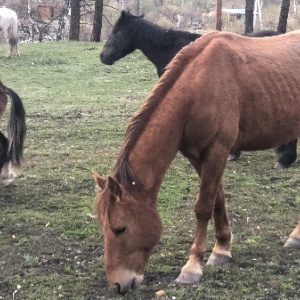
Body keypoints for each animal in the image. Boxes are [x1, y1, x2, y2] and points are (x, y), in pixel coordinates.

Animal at [93, 31, 300, 296]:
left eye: (121, 228)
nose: (118, 284)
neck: (197, 88)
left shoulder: (217, 150)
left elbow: (203, 206)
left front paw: (192, 267)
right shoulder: (196, 155)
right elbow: (217, 199)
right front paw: (222, 248)